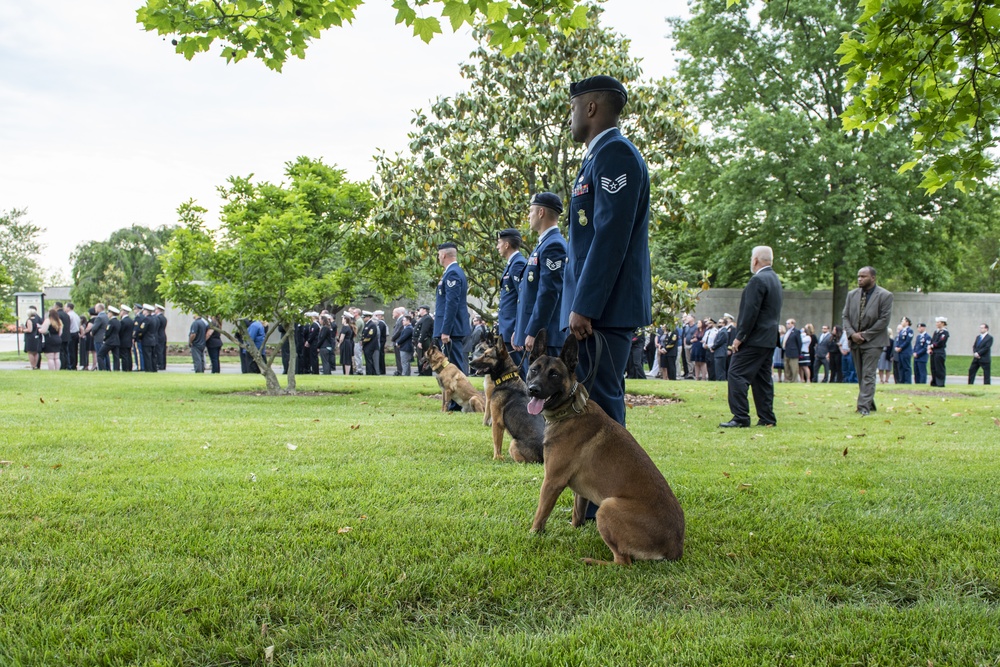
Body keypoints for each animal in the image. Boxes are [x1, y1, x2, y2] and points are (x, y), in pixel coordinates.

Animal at [470, 334, 548, 464]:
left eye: (486, 355)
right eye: (483, 353)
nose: (470, 362)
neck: (506, 379)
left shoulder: (496, 421)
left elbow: (497, 443)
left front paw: (497, 458)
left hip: (513, 444)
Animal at [528, 328, 684, 564]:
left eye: (554, 374)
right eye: (534, 370)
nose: (533, 389)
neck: (571, 411)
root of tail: (675, 548)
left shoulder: (552, 481)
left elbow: (540, 514)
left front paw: (532, 534)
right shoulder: (579, 492)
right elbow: (577, 514)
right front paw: (574, 531)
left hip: (607, 507)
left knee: (623, 562)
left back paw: (591, 562)